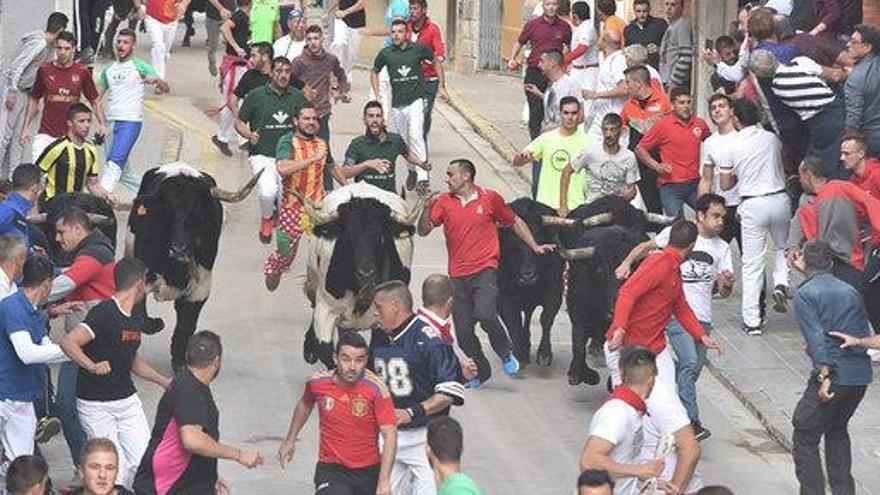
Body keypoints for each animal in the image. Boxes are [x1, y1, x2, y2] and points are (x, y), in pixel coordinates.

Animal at [125, 163, 262, 368]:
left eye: (197, 211)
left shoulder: (201, 287)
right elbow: (142, 319)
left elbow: (186, 326)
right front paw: (156, 324)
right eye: (167, 209)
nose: (178, 250)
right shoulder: (142, 275)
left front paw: (180, 362)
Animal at [300, 182, 428, 368]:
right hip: (313, 281)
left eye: (380, 236)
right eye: (348, 235)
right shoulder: (326, 308)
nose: (366, 273)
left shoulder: (382, 322)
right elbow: (327, 352)